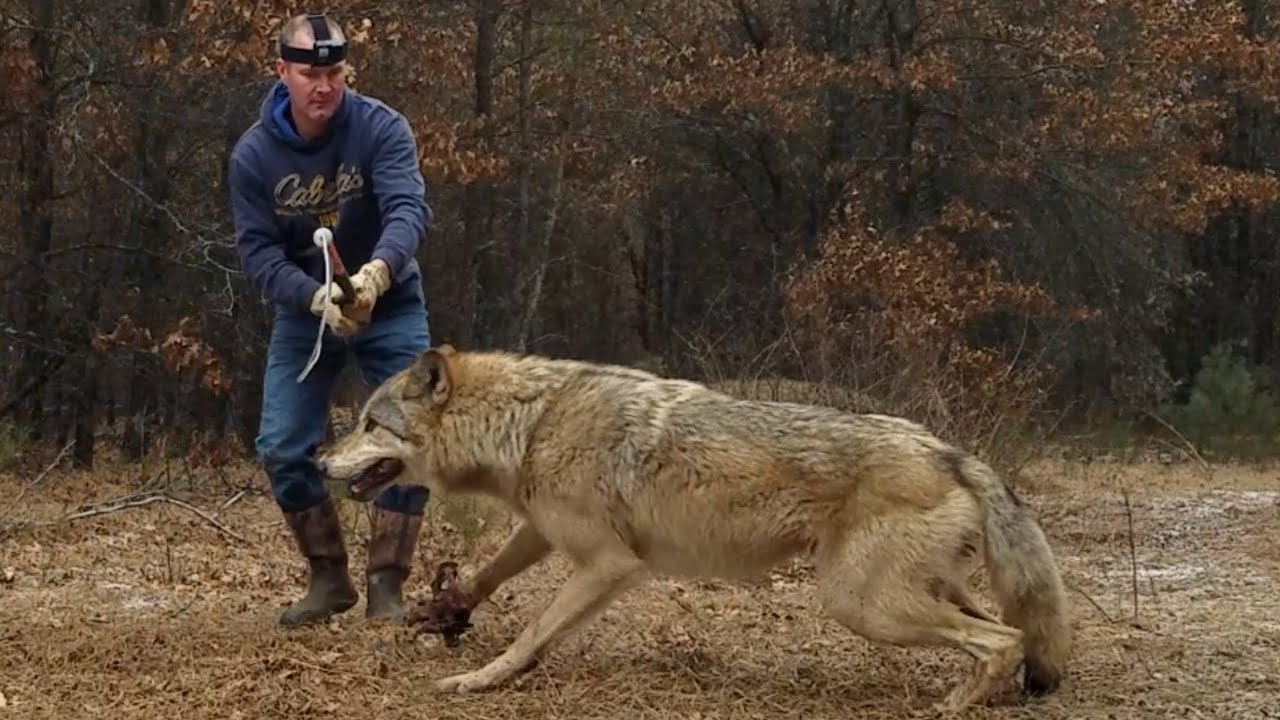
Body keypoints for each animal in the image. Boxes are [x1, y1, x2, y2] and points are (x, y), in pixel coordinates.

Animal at [316, 345, 1073, 709]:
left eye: (369, 424)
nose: (318, 459)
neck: (530, 424)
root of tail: (953, 452)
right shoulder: (544, 532)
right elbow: (489, 573)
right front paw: (448, 609)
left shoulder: (608, 564)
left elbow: (531, 633)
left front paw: (479, 680)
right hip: (912, 596)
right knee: (1008, 634)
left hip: (861, 605)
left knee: (1003, 639)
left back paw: (953, 705)